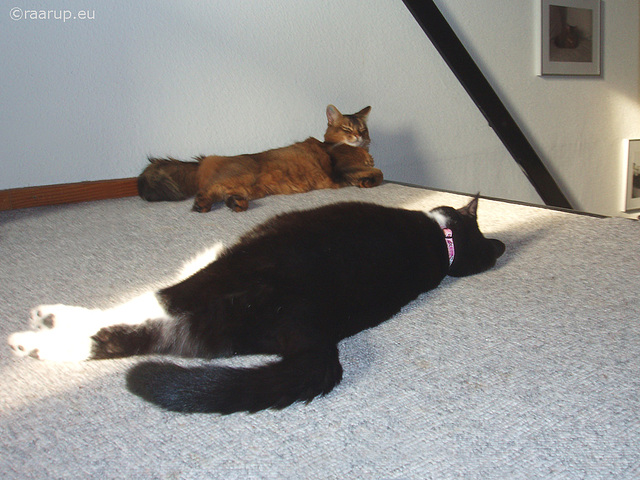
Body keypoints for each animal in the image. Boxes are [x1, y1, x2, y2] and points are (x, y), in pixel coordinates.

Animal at [7, 195, 502, 412]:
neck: (441, 244)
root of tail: (309, 322)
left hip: (219, 282)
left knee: (132, 319)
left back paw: (37, 333)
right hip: (217, 327)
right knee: (134, 338)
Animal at [137, 106, 382, 213]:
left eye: (363, 129)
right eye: (347, 128)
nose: (359, 136)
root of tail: (206, 160)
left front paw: (364, 181)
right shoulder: (343, 168)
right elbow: (379, 173)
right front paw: (367, 181)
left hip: (253, 188)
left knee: (224, 193)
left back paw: (235, 203)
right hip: (245, 177)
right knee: (209, 190)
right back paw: (203, 205)